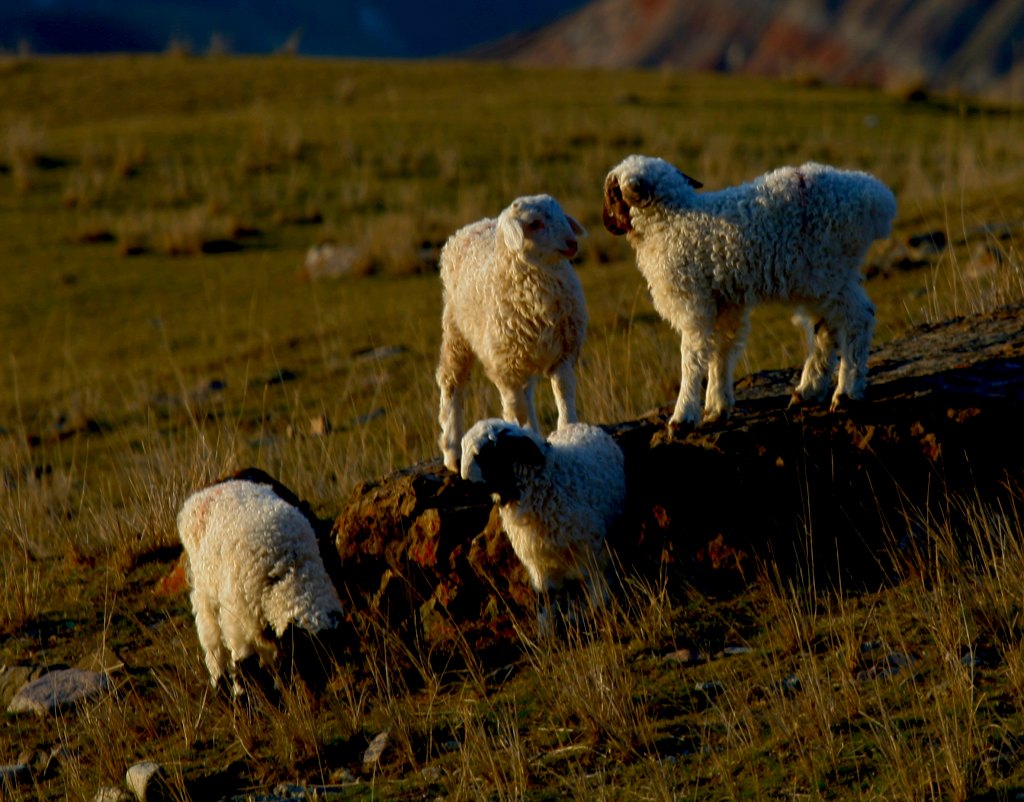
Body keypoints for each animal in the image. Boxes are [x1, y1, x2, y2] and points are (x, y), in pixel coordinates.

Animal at [178, 477, 346, 696]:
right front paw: (250, 696)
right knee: (213, 643)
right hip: (205, 593)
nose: (318, 693)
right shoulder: (237, 622)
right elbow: (246, 664)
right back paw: (222, 685)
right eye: (307, 652)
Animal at [436, 192, 589, 473]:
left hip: (522, 353)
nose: (571, 243)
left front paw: (568, 430)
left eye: (561, 215)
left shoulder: (563, 352)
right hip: (456, 331)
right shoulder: (505, 367)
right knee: (452, 384)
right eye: (535, 223)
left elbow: (564, 393)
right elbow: (516, 410)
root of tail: (475, 224)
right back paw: (451, 452)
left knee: (526, 394)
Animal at [462, 413, 622, 635]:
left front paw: (595, 608)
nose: (465, 484)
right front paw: (547, 631)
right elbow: (546, 596)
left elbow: (592, 581)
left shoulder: (588, 547)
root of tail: (578, 426)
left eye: (486, 453)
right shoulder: (538, 563)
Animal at [598, 154, 897, 430]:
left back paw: (847, 393)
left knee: (858, 319)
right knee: (826, 328)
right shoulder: (726, 304)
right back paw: (809, 391)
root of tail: (875, 197)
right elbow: (721, 352)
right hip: (818, 282)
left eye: (612, 193)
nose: (606, 224)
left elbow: (692, 357)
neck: (670, 223)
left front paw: (682, 417)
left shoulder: (693, 304)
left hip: (829, 272)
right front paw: (717, 408)